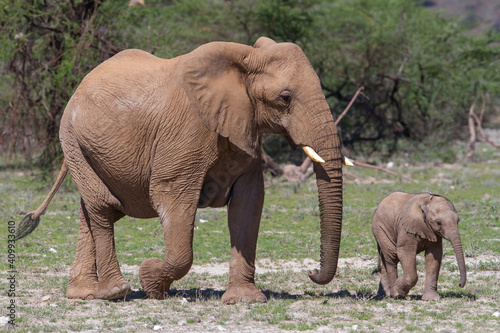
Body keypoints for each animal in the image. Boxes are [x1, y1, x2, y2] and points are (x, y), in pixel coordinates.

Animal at [16, 37, 344, 304]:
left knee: (94, 210)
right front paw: (151, 281)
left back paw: (84, 294)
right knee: (102, 204)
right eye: (285, 98)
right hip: (71, 139)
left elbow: (247, 205)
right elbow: (172, 196)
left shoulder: (244, 129)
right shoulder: (187, 132)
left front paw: (245, 300)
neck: (246, 58)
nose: (311, 271)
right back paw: (115, 292)